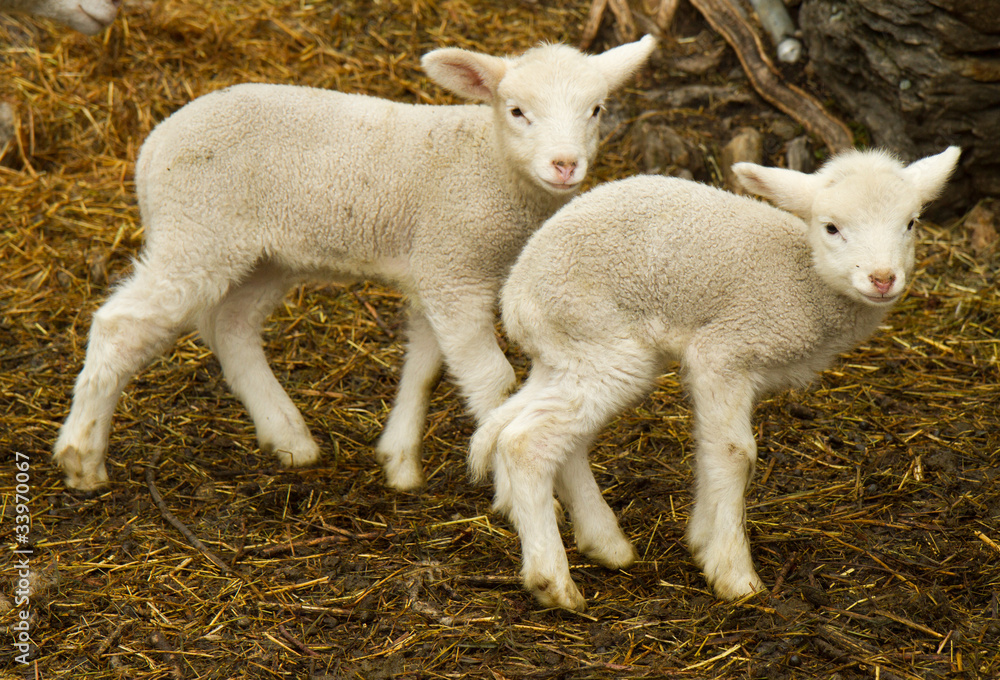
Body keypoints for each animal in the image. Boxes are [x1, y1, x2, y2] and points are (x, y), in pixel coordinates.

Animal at [52, 36, 657, 492]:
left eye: (596, 110)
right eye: (517, 111)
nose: (565, 165)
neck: (488, 162)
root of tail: (152, 146)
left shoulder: (433, 270)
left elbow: (426, 366)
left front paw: (400, 461)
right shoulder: (454, 266)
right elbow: (492, 377)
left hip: (261, 254)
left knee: (232, 326)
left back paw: (288, 437)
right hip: (197, 231)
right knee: (121, 325)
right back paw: (82, 458)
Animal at [469, 146, 961, 611]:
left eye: (911, 223)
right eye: (831, 228)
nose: (882, 278)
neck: (804, 282)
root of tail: (515, 295)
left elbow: (710, 448)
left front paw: (703, 541)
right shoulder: (725, 350)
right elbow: (734, 453)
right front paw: (735, 574)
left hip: (571, 354)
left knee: (527, 428)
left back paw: (605, 543)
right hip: (602, 344)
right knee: (526, 442)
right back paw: (553, 583)